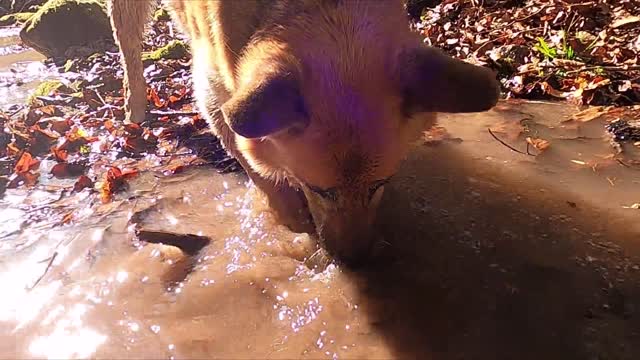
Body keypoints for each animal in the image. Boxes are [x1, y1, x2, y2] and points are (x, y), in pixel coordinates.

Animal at [109, 0, 500, 264]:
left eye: (379, 185)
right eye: (319, 190)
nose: (354, 261)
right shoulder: (216, 94)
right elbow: (263, 175)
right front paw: (293, 225)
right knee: (127, 41)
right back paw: (135, 108)